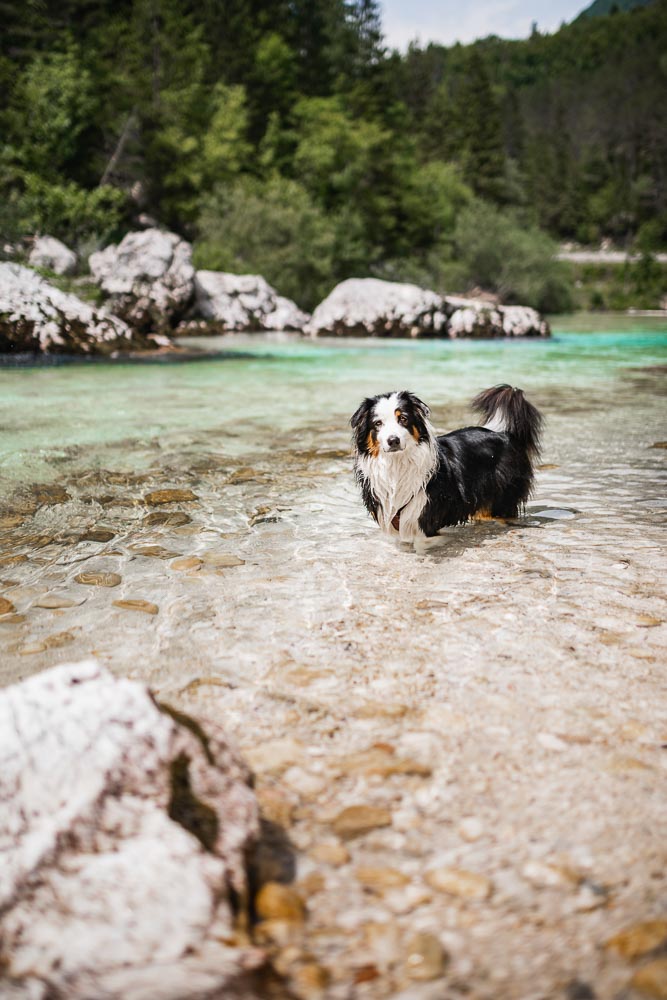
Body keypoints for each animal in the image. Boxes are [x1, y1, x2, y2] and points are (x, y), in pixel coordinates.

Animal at [350, 382, 544, 540]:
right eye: (378, 423)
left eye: (403, 418)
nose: (393, 440)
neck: (397, 464)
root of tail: (505, 434)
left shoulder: (424, 520)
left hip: (502, 499)